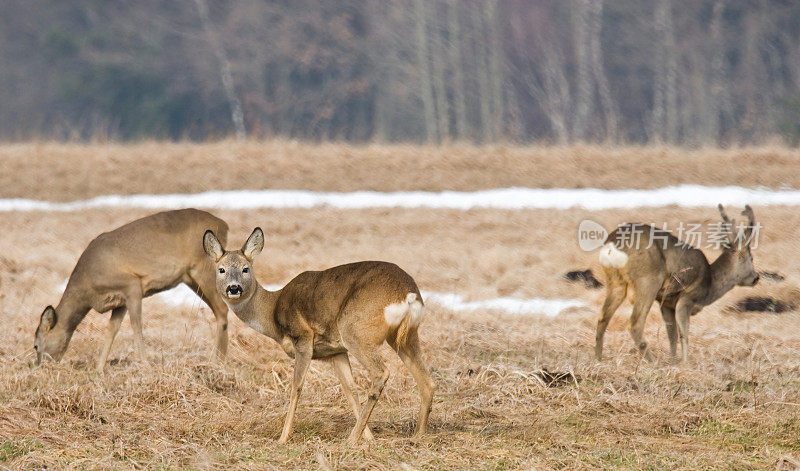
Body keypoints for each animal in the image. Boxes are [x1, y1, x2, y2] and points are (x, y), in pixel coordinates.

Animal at [36, 210, 233, 372]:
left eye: (36, 346)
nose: (39, 367)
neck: (87, 287)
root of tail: (224, 224)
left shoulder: (132, 284)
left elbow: (136, 325)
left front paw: (145, 364)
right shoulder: (120, 301)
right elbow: (112, 329)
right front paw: (99, 368)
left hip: (202, 267)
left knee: (222, 309)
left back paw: (216, 361)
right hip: (190, 277)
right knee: (219, 310)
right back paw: (218, 360)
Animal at [203, 227, 434, 444]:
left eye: (246, 269)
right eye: (221, 269)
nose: (234, 288)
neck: (272, 311)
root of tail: (408, 294)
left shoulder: (303, 339)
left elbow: (296, 387)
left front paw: (283, 438)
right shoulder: (335, 352)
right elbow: (350, 390)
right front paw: (369, 437)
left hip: (355, 330)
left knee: (381, 373)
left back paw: (351, 439)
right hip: (404, 337)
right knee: (427, 380)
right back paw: (417, 436)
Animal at [596, 205, 760, 364]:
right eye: (751, 258)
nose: (756, 277)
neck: (710, 283)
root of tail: (613, 244)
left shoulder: (667, 303)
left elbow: (672, 334)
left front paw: (673, 360)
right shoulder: (687, 298)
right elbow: (684, 333)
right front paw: (685, 363)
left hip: (616, 282)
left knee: (602, 318)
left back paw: (598, 358)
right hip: (648, 280)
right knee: (635, 323)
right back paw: (653, 361)